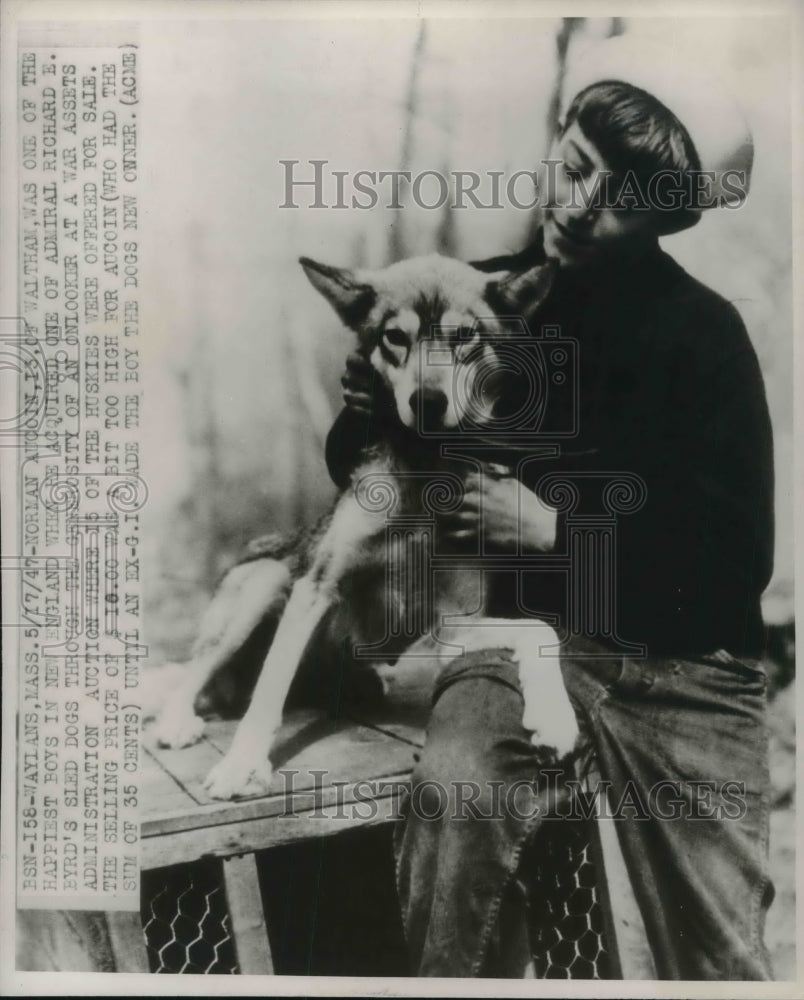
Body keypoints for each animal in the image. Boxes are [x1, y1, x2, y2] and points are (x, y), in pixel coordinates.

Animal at [152, 254, 576, 800]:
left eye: (464, 336)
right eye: (395, 337)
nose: (428, 401)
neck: (422, 479)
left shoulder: (453, 626)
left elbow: (540, 631)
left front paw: (556, 721)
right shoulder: (314, 589)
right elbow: (269, 690)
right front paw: (242, 764)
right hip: (267, 583)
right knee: (195, 674)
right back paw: (177, 720)